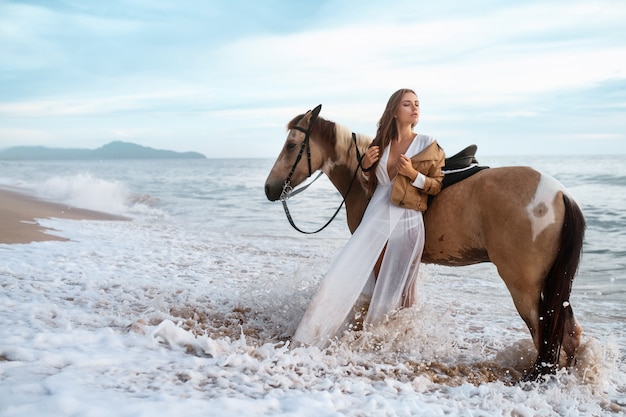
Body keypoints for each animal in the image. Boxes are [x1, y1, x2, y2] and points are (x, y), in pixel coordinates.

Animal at [264, 105, 584, 380]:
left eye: (291, 145)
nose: (270, 189)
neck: (369, 183)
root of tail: (560, 194)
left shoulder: (381, 257)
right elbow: (404, 306)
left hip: (524, 287)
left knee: (544, 333)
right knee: (570, 334)